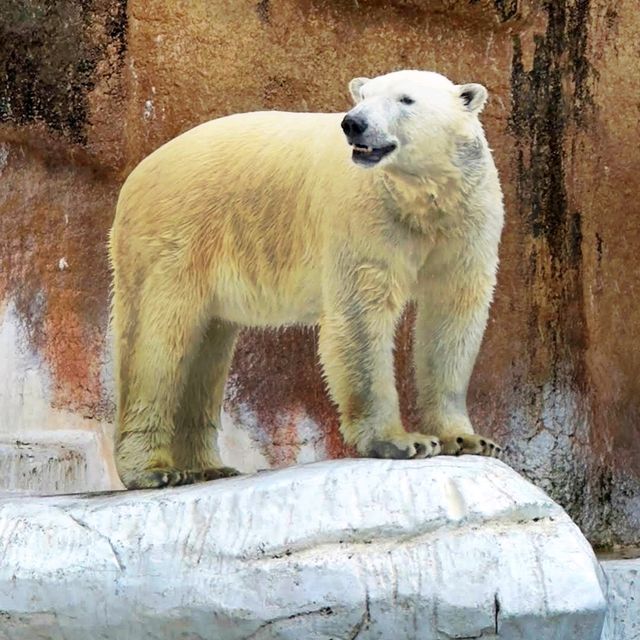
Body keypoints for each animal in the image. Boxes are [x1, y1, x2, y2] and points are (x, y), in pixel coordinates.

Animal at [112, 70, 508, 488]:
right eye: (363, 96)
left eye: (405, 99)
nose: (354, 123)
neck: (419, 198)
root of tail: (135, 175)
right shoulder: (365, 216)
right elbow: (360, 319)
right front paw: (402, 442)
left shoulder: (466, 219)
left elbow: (452, 318)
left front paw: (467, 439)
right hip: (174, 237)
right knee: (158, 343)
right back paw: (155, 471)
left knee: (206, 350)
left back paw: (209, 467)